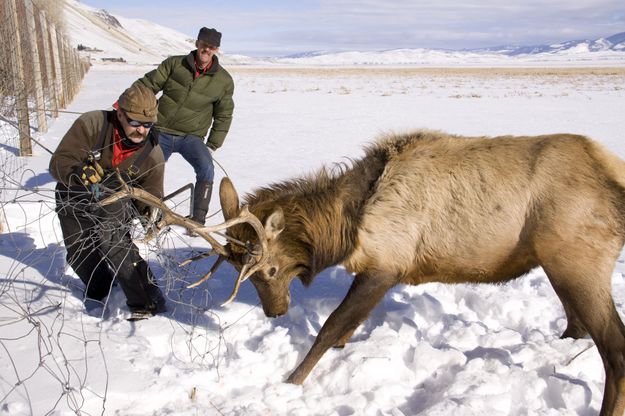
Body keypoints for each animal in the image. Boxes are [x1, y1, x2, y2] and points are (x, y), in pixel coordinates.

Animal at [102, 130, 624, 416]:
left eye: (268, 268)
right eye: (242, 271)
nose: (276, 313)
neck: (345, 225)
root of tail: (615, 179)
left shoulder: (386, 264)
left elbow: (330, 328)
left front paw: (291, 382)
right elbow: (345, 332)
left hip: (577, 256)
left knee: (614, 346)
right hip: (559, 261)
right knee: (578, 323)